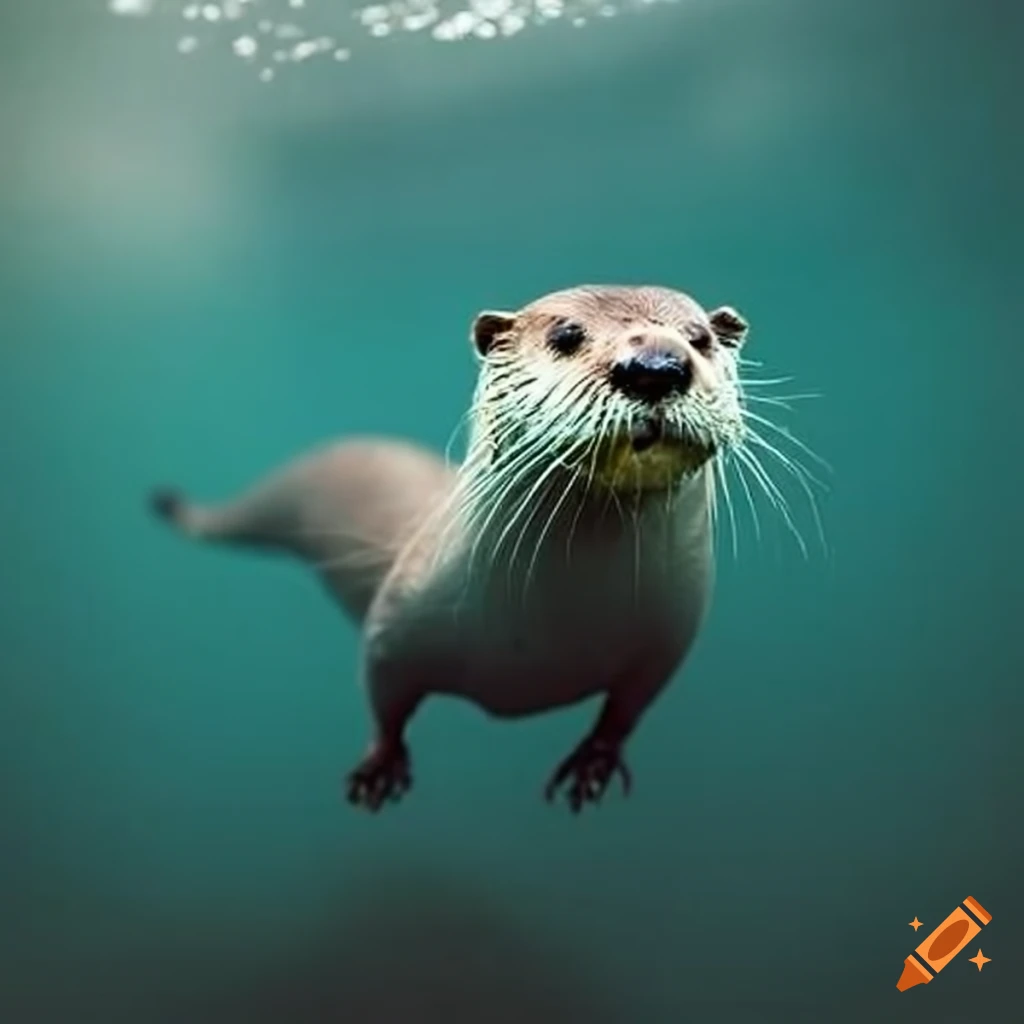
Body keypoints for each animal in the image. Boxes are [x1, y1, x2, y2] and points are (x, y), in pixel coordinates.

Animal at [150, 285, 752, 812]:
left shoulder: (669, 636)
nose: (656, 365)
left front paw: (593, 764)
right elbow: (384, 692)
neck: (552, 629)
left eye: (699, 339)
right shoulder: (398, 622)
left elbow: (628, 707)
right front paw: (379, 767)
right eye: (566, 334)